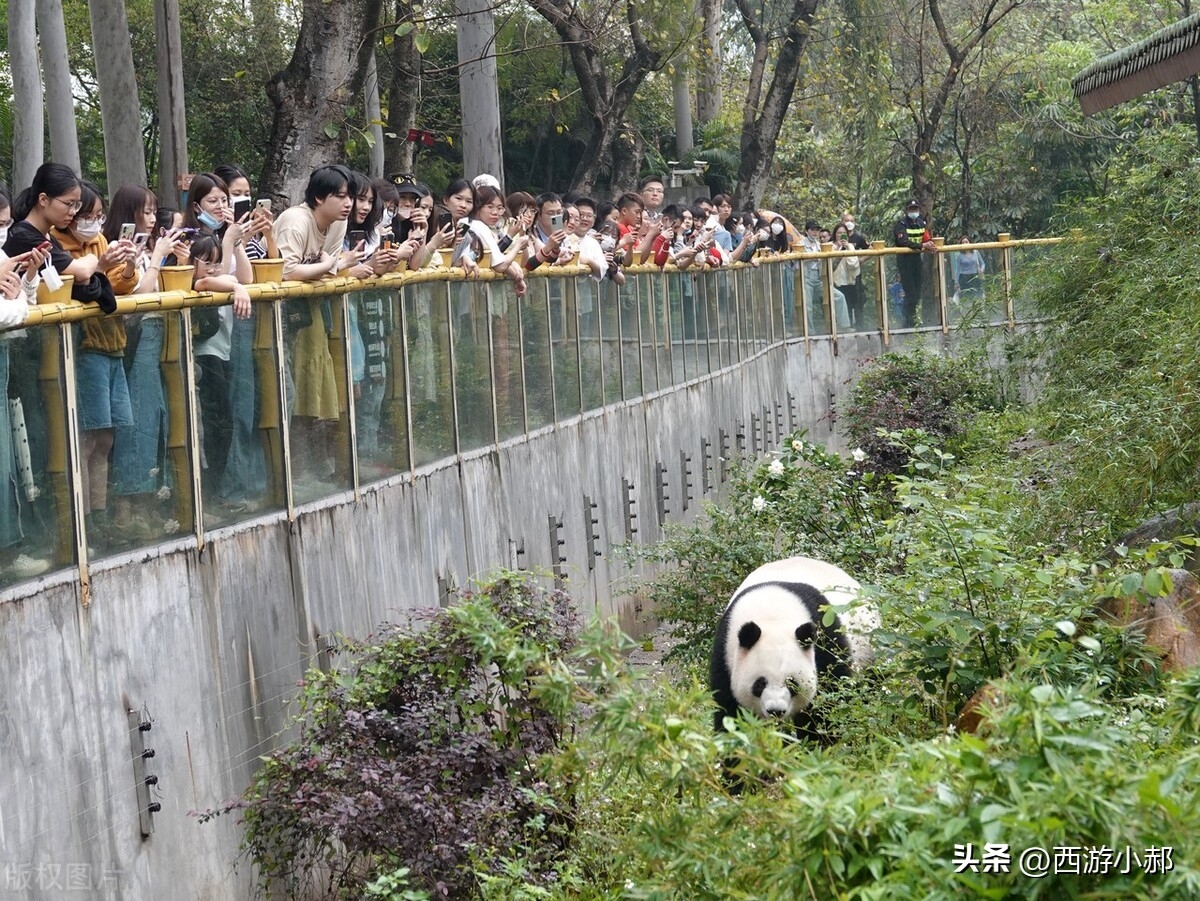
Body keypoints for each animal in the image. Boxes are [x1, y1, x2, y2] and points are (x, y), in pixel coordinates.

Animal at [705, 556, 878, 739]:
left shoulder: (825, 638)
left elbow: (828, 703)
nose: (776, 710)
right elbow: (730, 711)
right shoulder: (725, 653)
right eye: (759, 684)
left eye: (792, 682)